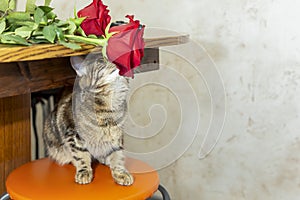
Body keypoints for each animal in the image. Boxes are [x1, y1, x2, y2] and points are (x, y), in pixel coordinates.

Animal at [42, 54, 133, 186]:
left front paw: (121, 173)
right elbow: (81, 156)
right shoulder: (73, 135)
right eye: (101, 61)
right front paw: (84, 172)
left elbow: (117, 156)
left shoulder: (116, 138)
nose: (117, 60)